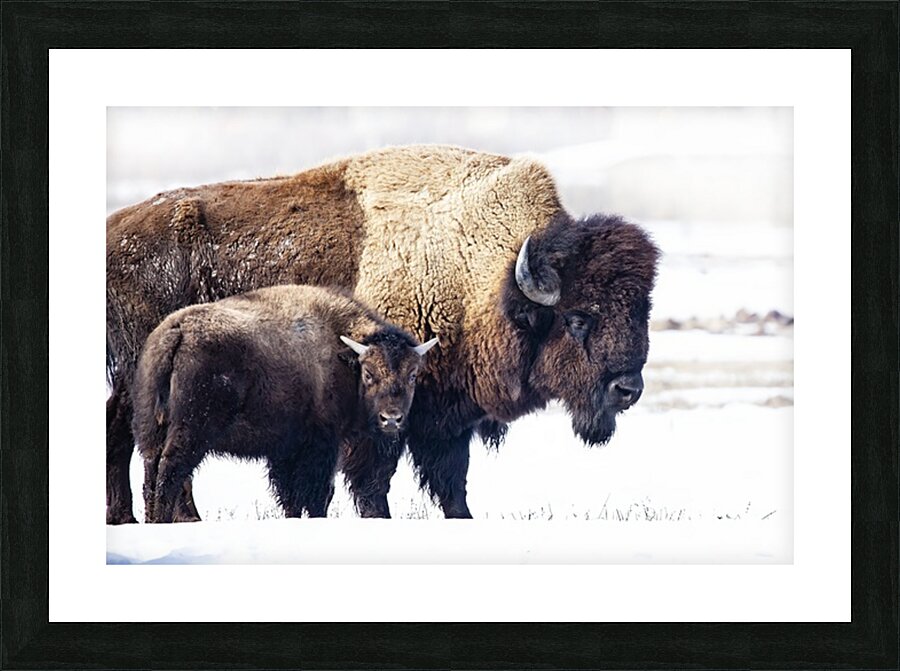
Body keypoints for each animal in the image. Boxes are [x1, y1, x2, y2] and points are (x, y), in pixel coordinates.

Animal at [133, 284, 437, 522]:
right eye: (369, 373)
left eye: (412, 375)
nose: (391, 419)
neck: (343, 356)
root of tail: (177, 331)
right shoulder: (321, 444)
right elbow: (317, 495)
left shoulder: (286, 450)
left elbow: (290, 496)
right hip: (192, 432)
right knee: (170, 472)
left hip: (151, 430)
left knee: (150, 475)